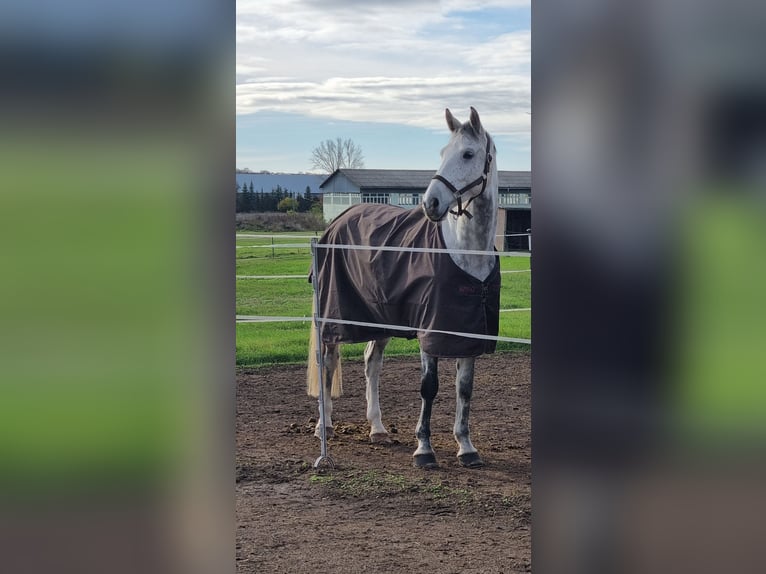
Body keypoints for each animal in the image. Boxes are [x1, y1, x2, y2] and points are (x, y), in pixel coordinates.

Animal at [307, 107, 500, 468]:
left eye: (468, 154)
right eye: (442, 152)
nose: (431, 203)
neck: (465, 253)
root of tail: (338, 219)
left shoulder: (468, 335)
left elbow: (464, 389)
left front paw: (466, 447)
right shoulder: (431, 332)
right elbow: (429, 387)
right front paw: (424, 449)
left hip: (379, 319)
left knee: (372, 364)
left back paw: (377, 429)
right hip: (332, 317)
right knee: (327, 362)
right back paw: (324, 426)